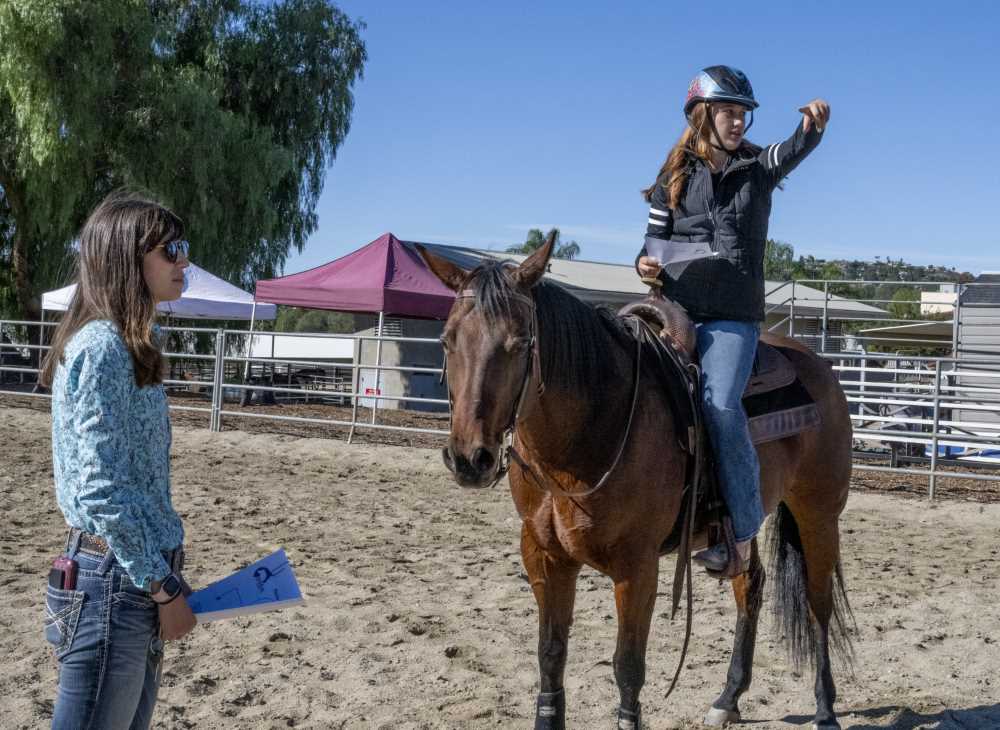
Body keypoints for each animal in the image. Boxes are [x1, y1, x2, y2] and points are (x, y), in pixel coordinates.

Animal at [418, 235, 856, 728]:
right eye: (447, 340)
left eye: (519, 342)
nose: (469, 458)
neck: (592, 429)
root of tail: (818, 365)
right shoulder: (544, 556)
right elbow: (551, 654)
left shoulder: (637, 568)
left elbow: (628, 667)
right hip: (745, 524)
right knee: (751, 586)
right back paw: (728, 698)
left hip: (818, 515)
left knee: (818, 603)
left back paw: (825, 708)